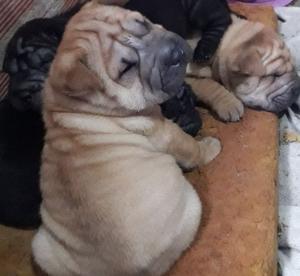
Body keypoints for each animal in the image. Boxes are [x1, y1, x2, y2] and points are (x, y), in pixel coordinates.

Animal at [31, 2, 221, 276]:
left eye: (144, 22)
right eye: (127, 69)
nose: (174, 53)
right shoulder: (163, 131)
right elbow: (191, 147)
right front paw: (210, 146)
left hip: (41, 247)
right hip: (193, 206)